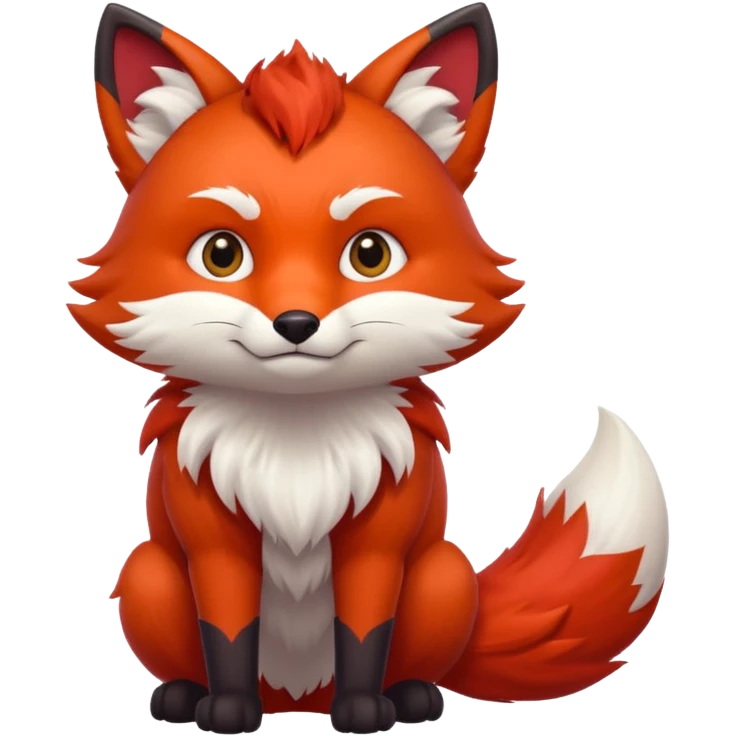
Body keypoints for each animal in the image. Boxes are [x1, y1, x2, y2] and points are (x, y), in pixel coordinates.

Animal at [72, 2, 671, 734]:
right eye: (221, 254)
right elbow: (229, 633)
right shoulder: (214, 544)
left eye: (369, 254)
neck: (296, 445)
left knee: (413, 657)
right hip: (147, 573)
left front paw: (362, 712)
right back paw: (184, 695)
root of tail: (297, 699)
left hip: (444, 574)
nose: (296, 324)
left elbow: (363, 632)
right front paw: (229, 711)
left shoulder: (379, 543)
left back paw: (411, 696)